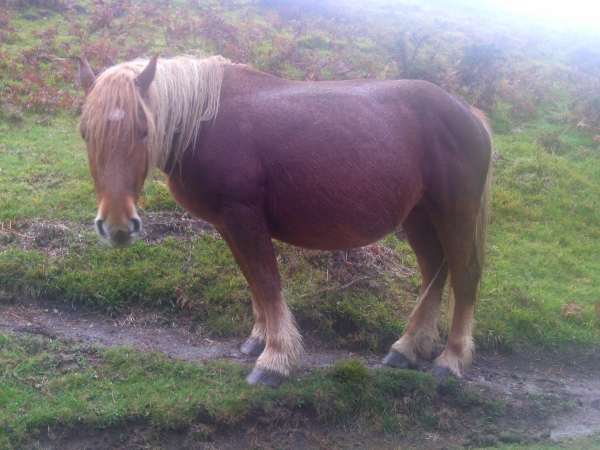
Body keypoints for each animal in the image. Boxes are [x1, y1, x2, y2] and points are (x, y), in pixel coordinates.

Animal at [77, 55, 492, 386]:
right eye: (85, 134)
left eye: (143, 131)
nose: (117, 226)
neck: (206, 122)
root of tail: (467, 113)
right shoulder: (228, 224)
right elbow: (252, 279)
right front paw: (260, 339)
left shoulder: (243, 216)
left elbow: (266, 280)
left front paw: (275, 360)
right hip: (420, 216)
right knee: (434, 271)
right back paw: (407, 348)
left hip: (454, 211)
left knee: (464, 276)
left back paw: (451, 360)